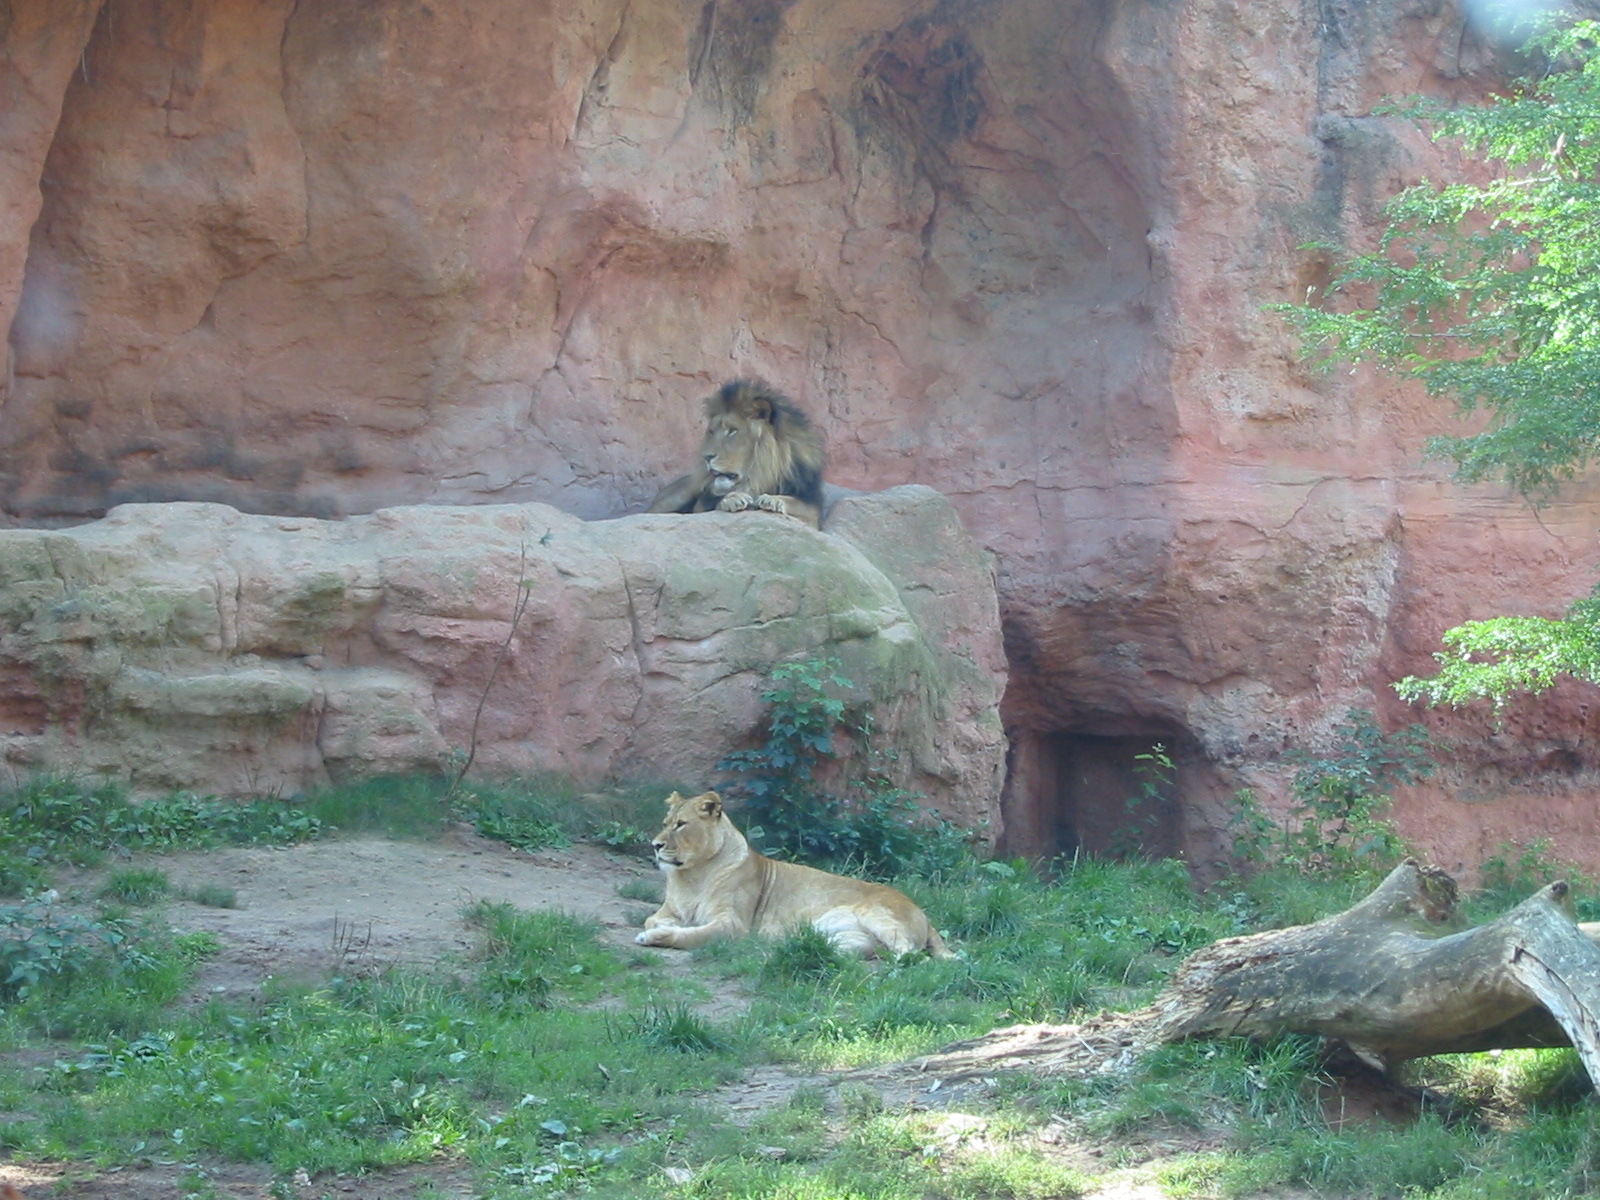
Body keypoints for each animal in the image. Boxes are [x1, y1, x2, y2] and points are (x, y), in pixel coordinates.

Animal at [634, 791, 954, 959]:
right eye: (665, 822)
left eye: (681, 824)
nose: (655, 845)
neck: (693, 875)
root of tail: (923, 914)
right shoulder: (670, 909)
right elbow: (653, 918)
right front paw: (660, 927)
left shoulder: (734, 923)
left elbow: (696, 935)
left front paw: (657, 936)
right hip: (839, 937)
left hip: (876, 914)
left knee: (911, 954)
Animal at [646, 379, 827, 529]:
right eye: (711, 432)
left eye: (732, 431)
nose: (706, 457)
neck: (757, 477)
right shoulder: (702, 506)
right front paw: (732, 499)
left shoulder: (812, 509)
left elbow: (800, 506)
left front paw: (774, 500)